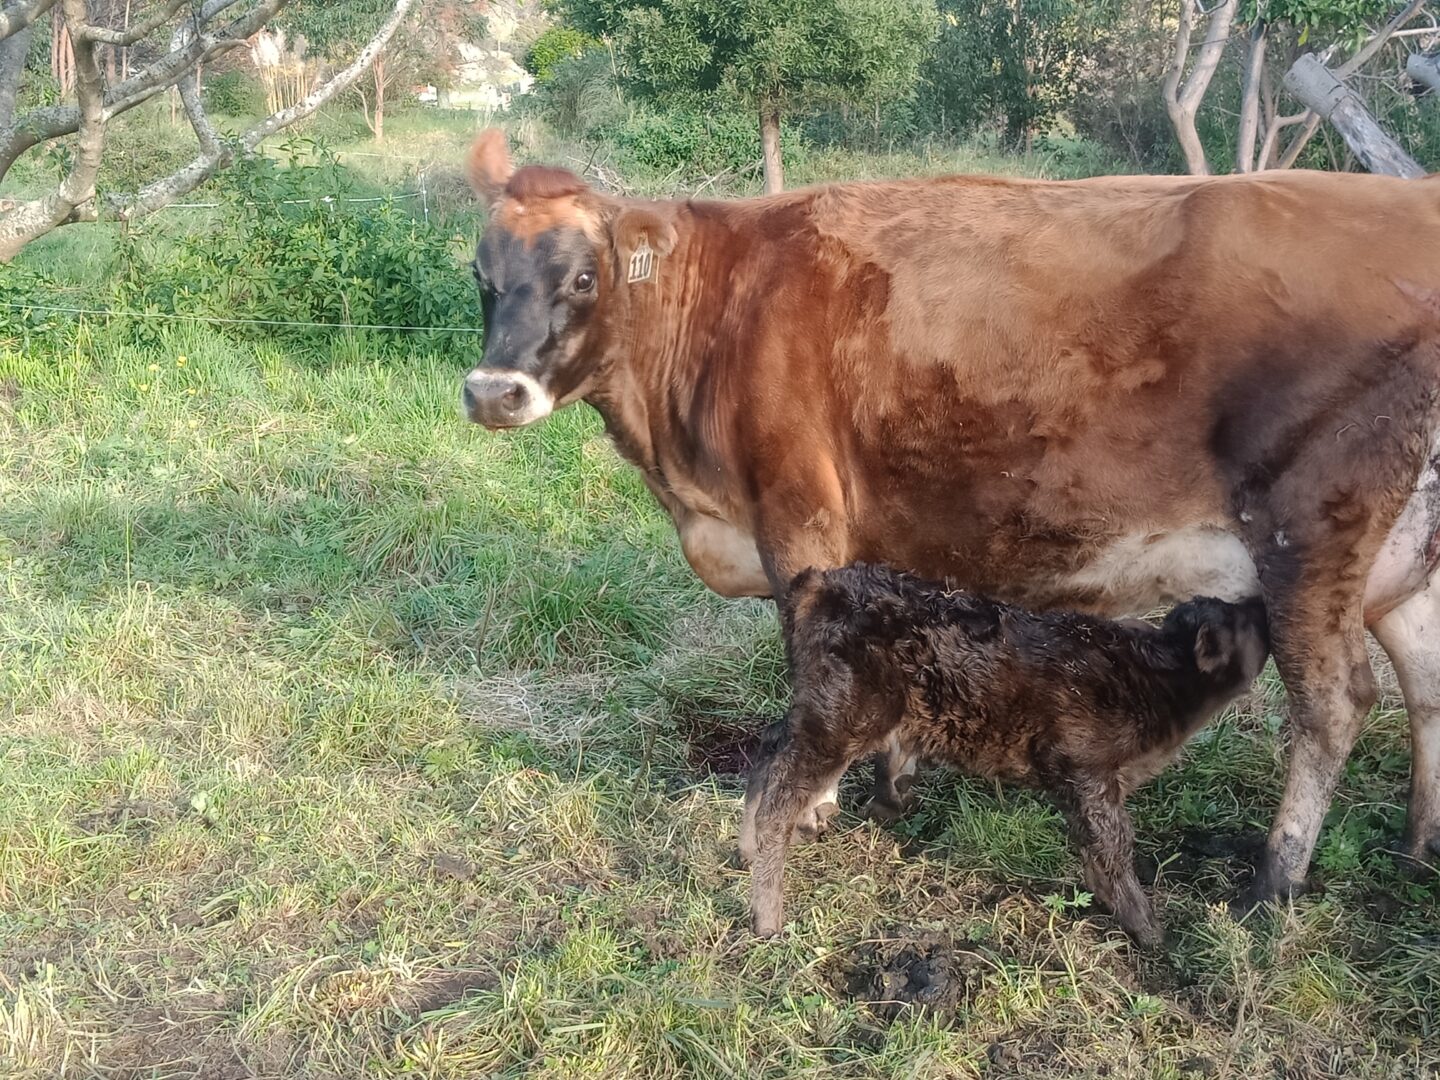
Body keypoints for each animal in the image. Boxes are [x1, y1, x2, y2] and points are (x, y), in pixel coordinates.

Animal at [457, 128, 1440, 915]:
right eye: (481, 274)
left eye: (583, 276)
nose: (493, 392)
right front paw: (893, 776)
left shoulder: (800, 523)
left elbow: (807, 667)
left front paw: (818, 804)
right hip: (1400, 560)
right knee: (1425, 679)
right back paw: (1417, 846)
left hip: (1312, 529)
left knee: (1336, 703)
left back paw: (1273, 884)